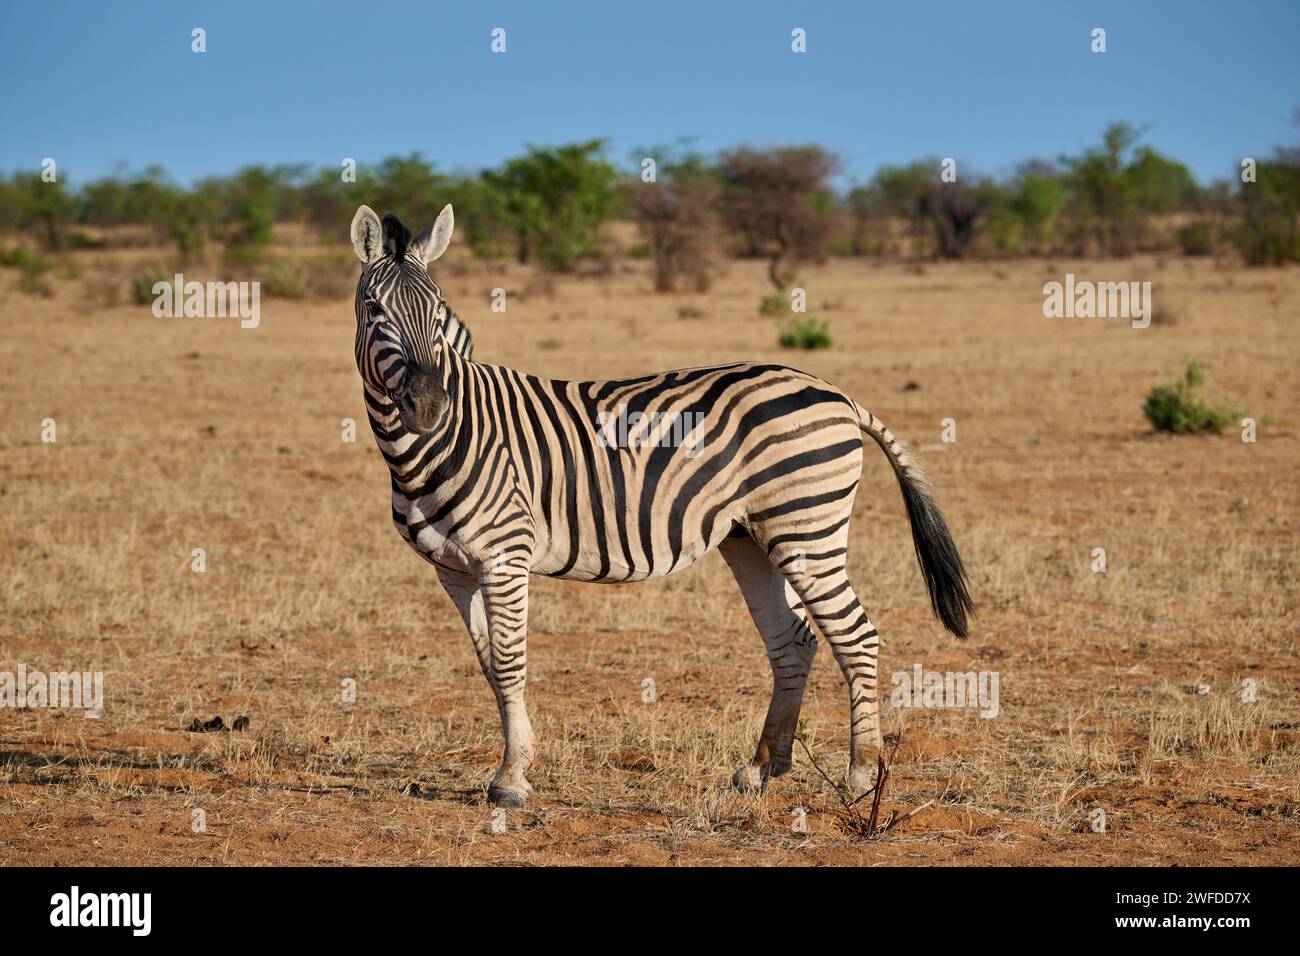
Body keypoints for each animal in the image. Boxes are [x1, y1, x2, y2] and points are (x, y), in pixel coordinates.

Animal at [351, 201, 972, 806]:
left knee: (855, 637)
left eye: (438, 311)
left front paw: (510, 778)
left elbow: (508, 662)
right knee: (793, 641)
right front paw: (514, 765)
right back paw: (762, 768)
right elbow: (488, 664)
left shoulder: (505, 554)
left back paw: (861, 776)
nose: (429, 405)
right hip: (753, 536)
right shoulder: (454, 571)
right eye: (375, 309)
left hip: (806, 528)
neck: (441, 442)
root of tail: (837, 393)